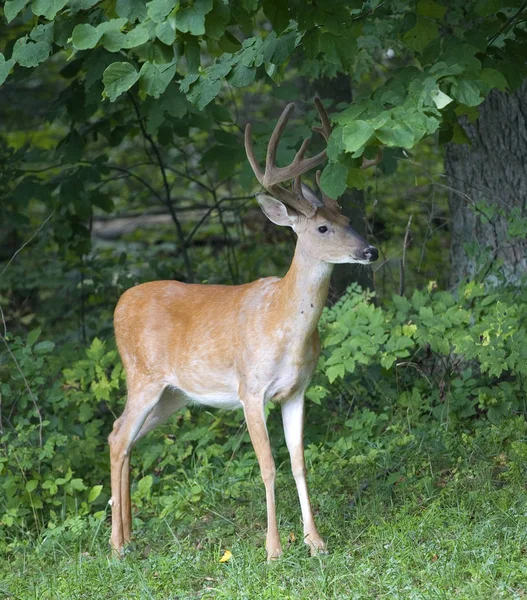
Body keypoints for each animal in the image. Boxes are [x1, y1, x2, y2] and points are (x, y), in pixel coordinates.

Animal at [108, 96, 380, 560]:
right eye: (323, 227)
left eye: (347, 218)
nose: (371, 250)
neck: (285, 325)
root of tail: (119, 303)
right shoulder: (250, 389)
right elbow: (268, 467)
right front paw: (273, 549)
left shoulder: (297, 389)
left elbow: (299, 461)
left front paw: (315, 541)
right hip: (142, 375)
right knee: (118, 437)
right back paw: (114, 545)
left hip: (173, 394)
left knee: (123, 436)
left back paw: (128, 539)